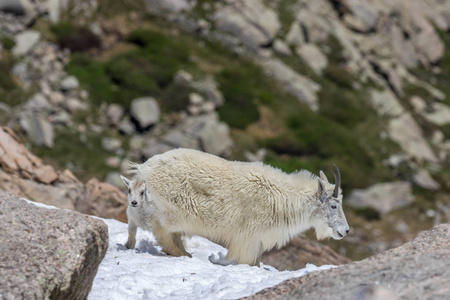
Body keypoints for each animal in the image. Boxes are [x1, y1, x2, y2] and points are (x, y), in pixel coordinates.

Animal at [121, 149, 350, 266]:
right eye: (333, 205)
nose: (345, 231)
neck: (281, 197)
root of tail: (144, 168)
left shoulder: (256, 240)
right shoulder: (248, 237)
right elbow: (246, 261)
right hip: (174, 210)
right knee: (160, 230)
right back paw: (181, 254)